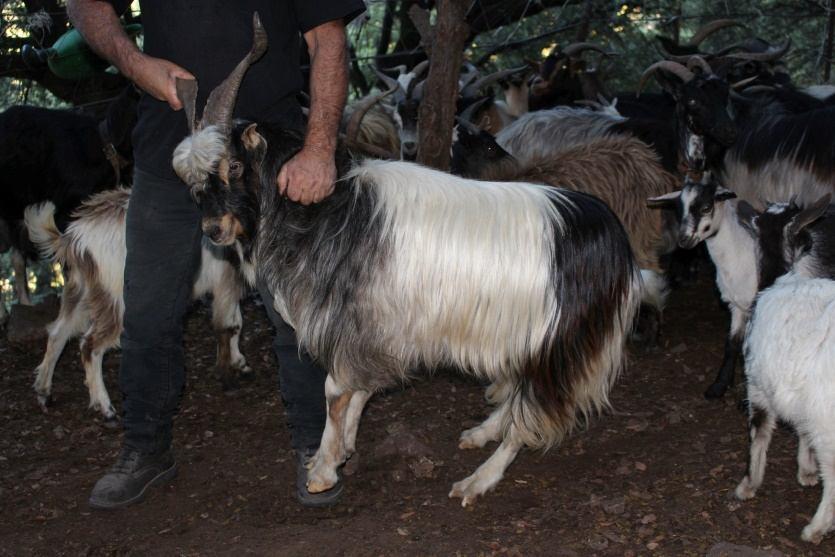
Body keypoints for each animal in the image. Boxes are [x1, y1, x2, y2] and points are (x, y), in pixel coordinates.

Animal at [26, 188, 251, 422]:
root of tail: (74, 238)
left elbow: (237, 322)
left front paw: (239, 361)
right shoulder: (225, 279)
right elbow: (228, 325)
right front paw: (229, 374)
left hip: (82, 291)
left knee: (58, 333)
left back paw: (44, 392)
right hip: (117, 298)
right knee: (90, 346)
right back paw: (105, 408)